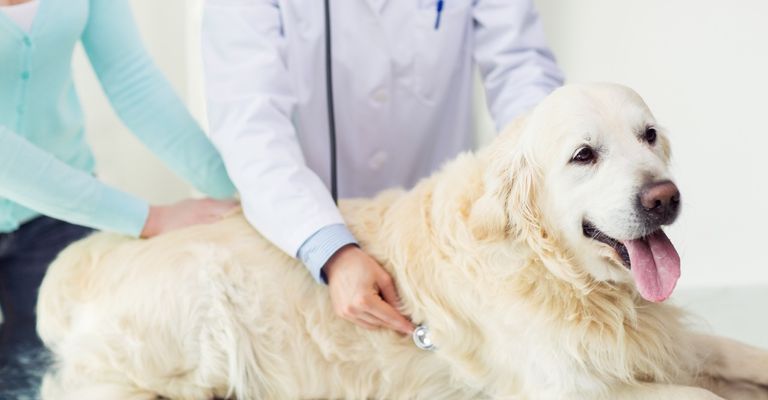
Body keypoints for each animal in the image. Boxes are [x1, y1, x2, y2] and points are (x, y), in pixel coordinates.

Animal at [34, 83, 768, 398]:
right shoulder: (566, 392)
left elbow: (737, 353)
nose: (664, 198)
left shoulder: (662, 339)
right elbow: (698, 395)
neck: (552, 272)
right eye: (584, 155)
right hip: (204, 318)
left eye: (650, 135)